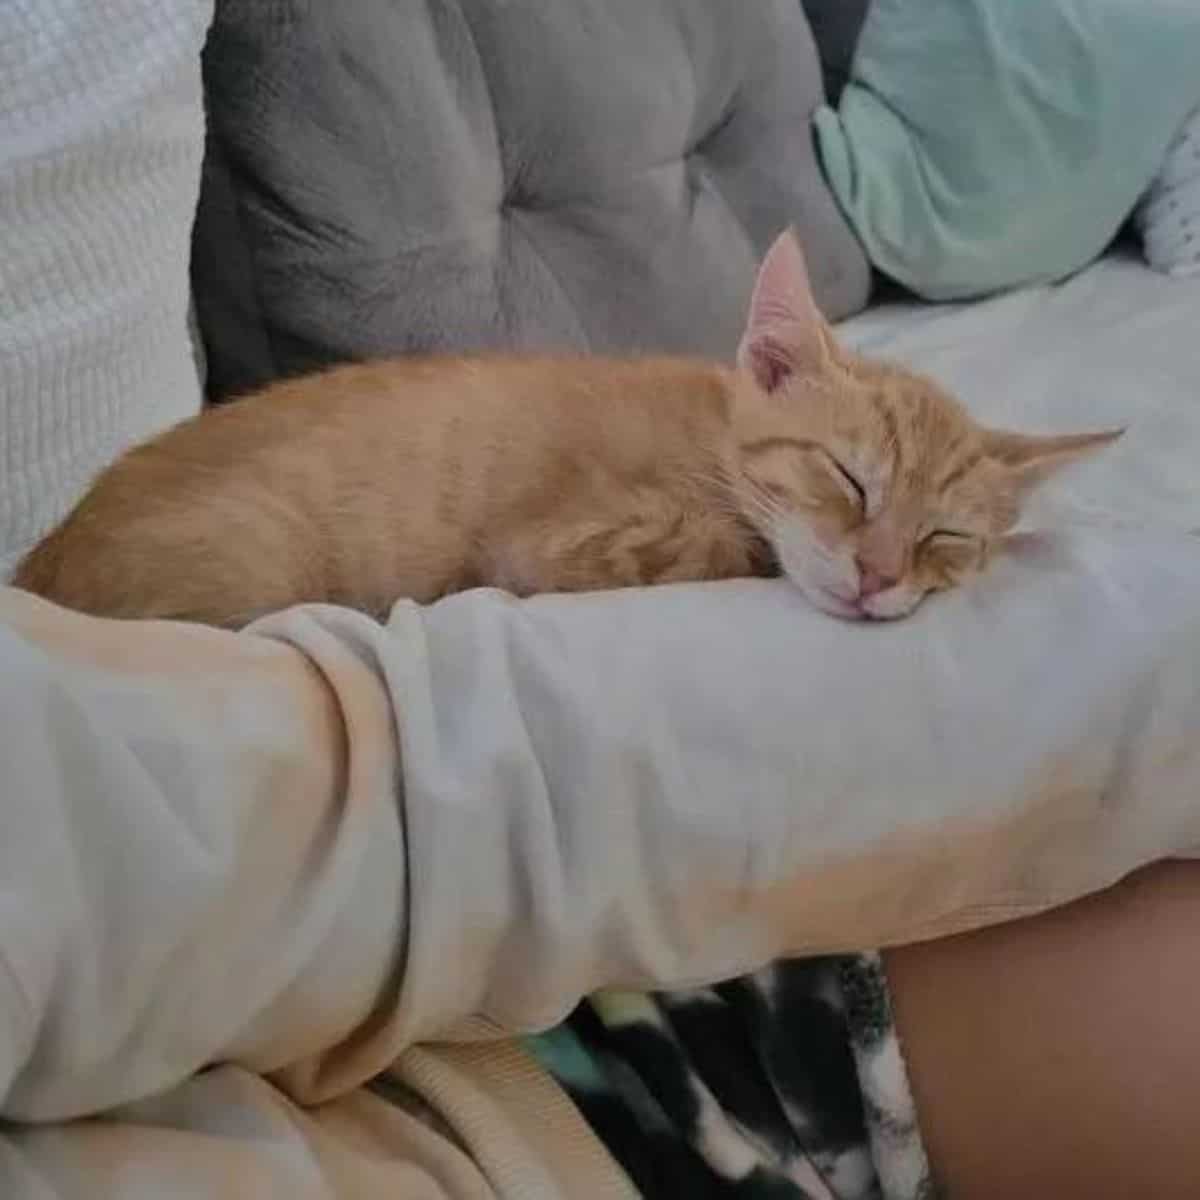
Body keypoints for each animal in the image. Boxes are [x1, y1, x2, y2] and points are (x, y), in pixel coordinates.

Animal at [9, 231, 1118, 628]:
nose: (881, 577)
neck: (712, 436)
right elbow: (724, 547)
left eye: (945, 539)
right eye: (848, 481)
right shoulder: (548, 543)